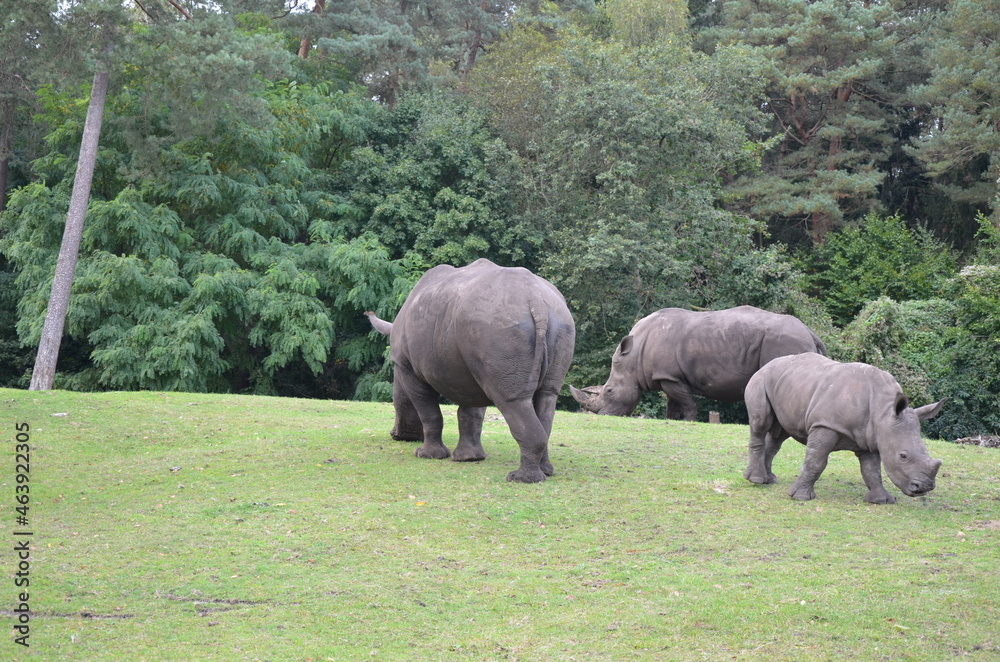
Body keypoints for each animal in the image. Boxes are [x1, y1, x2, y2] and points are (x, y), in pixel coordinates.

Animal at [365, 258, 576, 483]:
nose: (397, 435)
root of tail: (535, 300)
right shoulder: (470, 368)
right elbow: (471, 413)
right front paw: (469, 458)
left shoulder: (407, 367)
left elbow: (428, 411)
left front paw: (427, 455)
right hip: (554, 322)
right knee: (547, 395)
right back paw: (546, 472)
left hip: (496, 326)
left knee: (511, 400)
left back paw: (520, 478)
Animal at [570, 306, 826, 421]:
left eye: (609, 391)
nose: (601, 415)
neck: (633, 357)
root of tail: (810, 332)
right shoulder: (666, 377)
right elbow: (673, 405)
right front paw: (671, 421)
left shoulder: (671, 376)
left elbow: (687, 403)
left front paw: (690, 422)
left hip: (784, 341)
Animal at [743, 352, 944, 503]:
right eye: (903, 456)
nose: (923, 488)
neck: (884, 411)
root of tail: (768, 364)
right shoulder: (826, 424)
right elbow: (815, 461)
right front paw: (799, 497)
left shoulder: (870, 436)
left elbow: (872, 470)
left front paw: (881, 500)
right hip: (760, 380)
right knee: (761, 424)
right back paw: (756, 480)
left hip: (787, 386)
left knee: (778, 435)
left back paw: (769, 480)